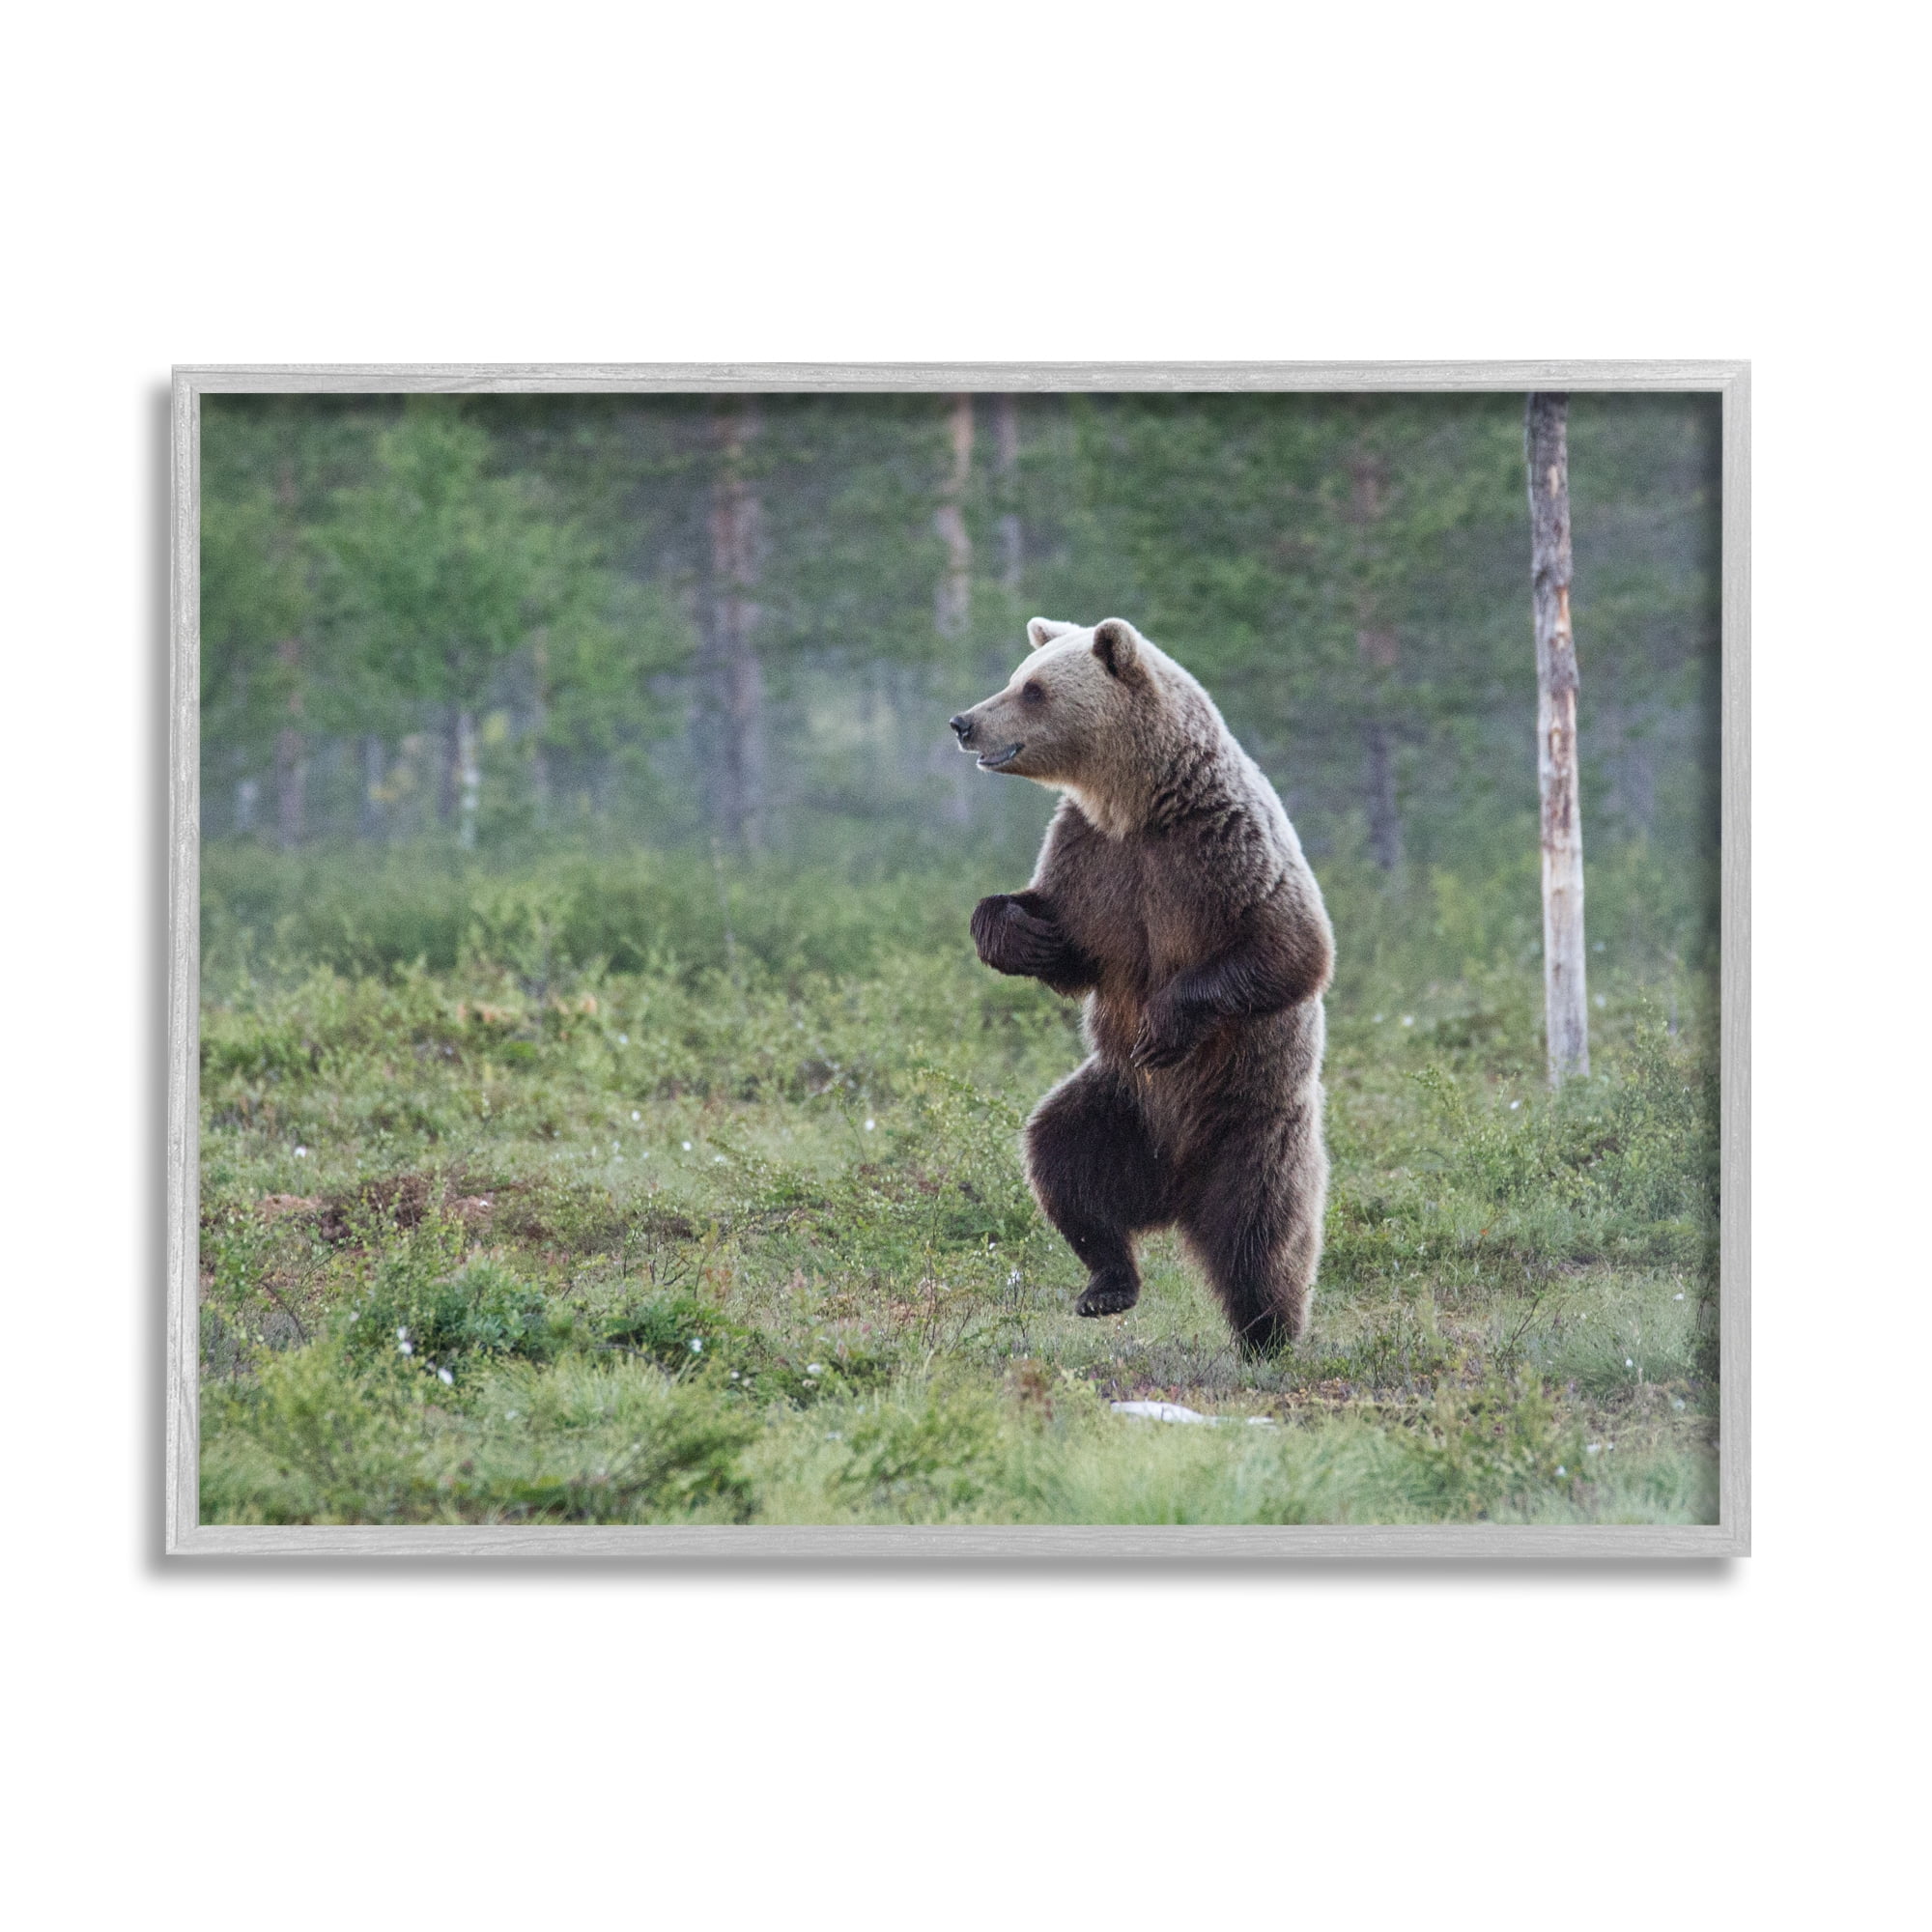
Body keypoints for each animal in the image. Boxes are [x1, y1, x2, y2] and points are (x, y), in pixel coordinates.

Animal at [948, 616, 1334, 1355]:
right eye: (1018, 676)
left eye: (1033, 690)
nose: (963, 722)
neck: (1136, 805)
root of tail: (1175, 1193)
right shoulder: (1090, 858)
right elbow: (1070, 944)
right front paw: (1019, 933)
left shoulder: (1221, 847)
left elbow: (1291, 948)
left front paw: (1165, 1024)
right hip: (1119, 1106)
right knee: (1060, 1161)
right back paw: (1106, 1284)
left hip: (1251, 1123)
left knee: (1262, 1234)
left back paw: (1269, 1335)